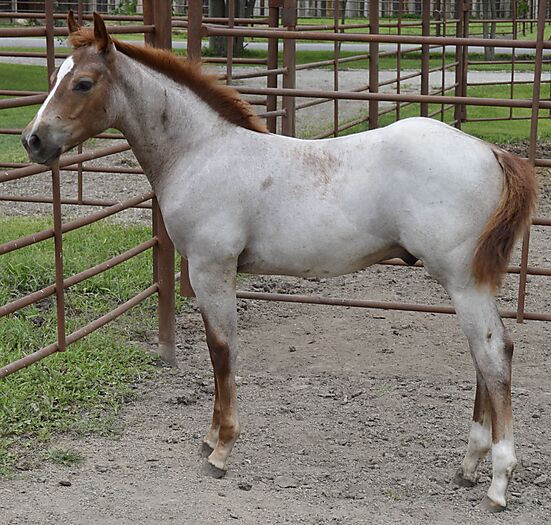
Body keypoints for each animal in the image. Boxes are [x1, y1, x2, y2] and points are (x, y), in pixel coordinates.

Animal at [21, 12, 537, 512]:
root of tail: (491, 152)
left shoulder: (211, 269)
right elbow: (217, 352)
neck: (201, 153)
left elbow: (221, 350)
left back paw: (498, 483)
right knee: (486, 355)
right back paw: (469, 467)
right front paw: (209, 437)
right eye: (54, 76)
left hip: (462, 282)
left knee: (493, 355)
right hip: (472, 282)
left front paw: (221, 449)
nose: (32, 140)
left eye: (83, 82)